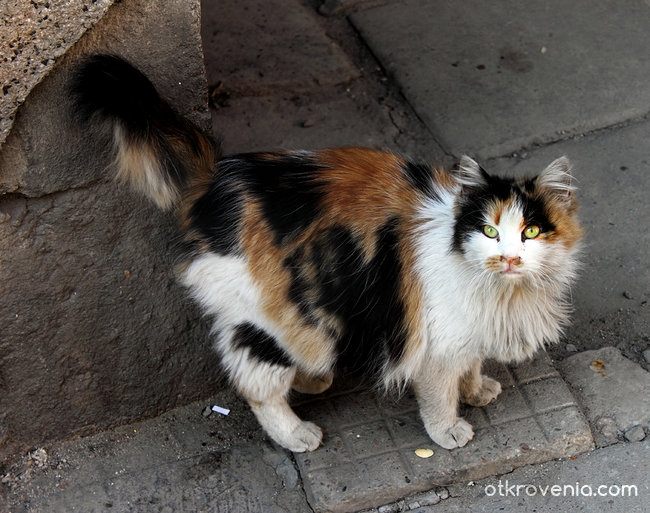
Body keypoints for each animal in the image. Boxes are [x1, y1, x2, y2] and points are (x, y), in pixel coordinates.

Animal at [71, 55, 584, 452]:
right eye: (490, 231)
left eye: (531, 231)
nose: (510, 258)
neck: (504, 292)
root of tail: (216, 176)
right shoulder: (436, 342)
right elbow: (439, 393)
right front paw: (449, 430)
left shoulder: (469, 331)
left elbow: (472, 365)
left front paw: (478, 390)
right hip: (269, 318)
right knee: (255, 386)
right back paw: (297, 433)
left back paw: (313, 382)